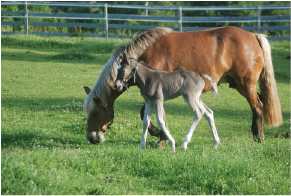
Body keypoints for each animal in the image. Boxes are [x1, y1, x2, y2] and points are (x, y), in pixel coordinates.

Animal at [84, 26, 282, 144]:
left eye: (95, 112)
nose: (92, 138)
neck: (143, 56)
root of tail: (254, 36)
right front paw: (160, 135)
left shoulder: (157, 93)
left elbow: (152, 115)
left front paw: (161, 137)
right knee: (260, 102)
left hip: (245, 84)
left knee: (257, 106)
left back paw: (258, 136)